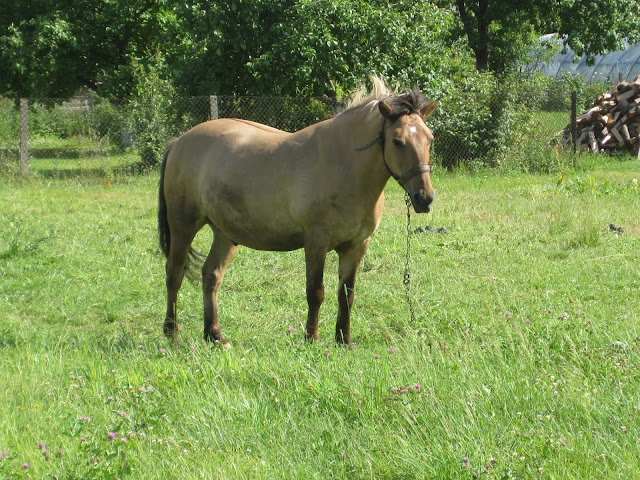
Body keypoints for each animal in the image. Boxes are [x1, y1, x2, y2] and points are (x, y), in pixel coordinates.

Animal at [158, 79, 438, 348]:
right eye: (398, 141)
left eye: (430, 138)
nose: (424, 198)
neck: (342, 164)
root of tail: (179, 142)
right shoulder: (316, 241)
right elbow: (315, 292)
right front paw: (311, 338)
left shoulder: (356, 245)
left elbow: (346, 294)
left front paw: (344, 340)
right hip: (183, 227)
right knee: (174, 274)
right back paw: (172, 333)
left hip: (225, 234)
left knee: (211, 276)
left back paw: (214, 335)